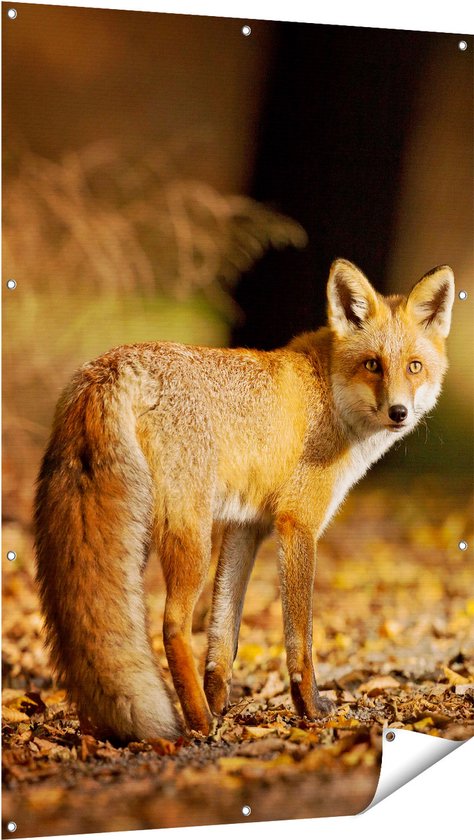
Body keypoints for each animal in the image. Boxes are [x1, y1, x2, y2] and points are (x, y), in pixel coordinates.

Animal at [34, 258, 456, 740]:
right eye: (373, 365)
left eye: (414, 367)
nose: (398, 413)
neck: (328, 394)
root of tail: (113, 365)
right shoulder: (296, 522)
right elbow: (300, 637)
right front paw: (309, 708)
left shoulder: (245, 526)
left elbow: (224, 633)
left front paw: (221, 703)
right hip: (189, 538)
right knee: (172, 625)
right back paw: (197, 723)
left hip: (133, 536)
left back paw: (104, 727)